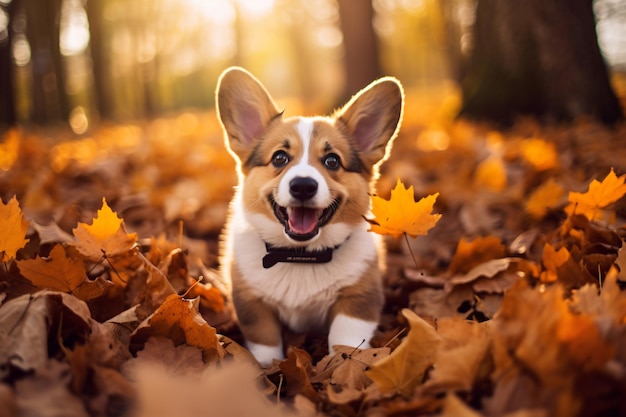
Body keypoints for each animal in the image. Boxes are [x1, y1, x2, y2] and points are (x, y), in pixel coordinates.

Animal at [216, 66, 404, 366]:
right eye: (279, 158)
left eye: (332, 161)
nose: (303, 186)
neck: (301, 256)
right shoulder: (252, 304)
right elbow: (265, 343)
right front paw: (267, 368)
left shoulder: (358, 300)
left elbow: (345, 341)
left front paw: (340, 366)